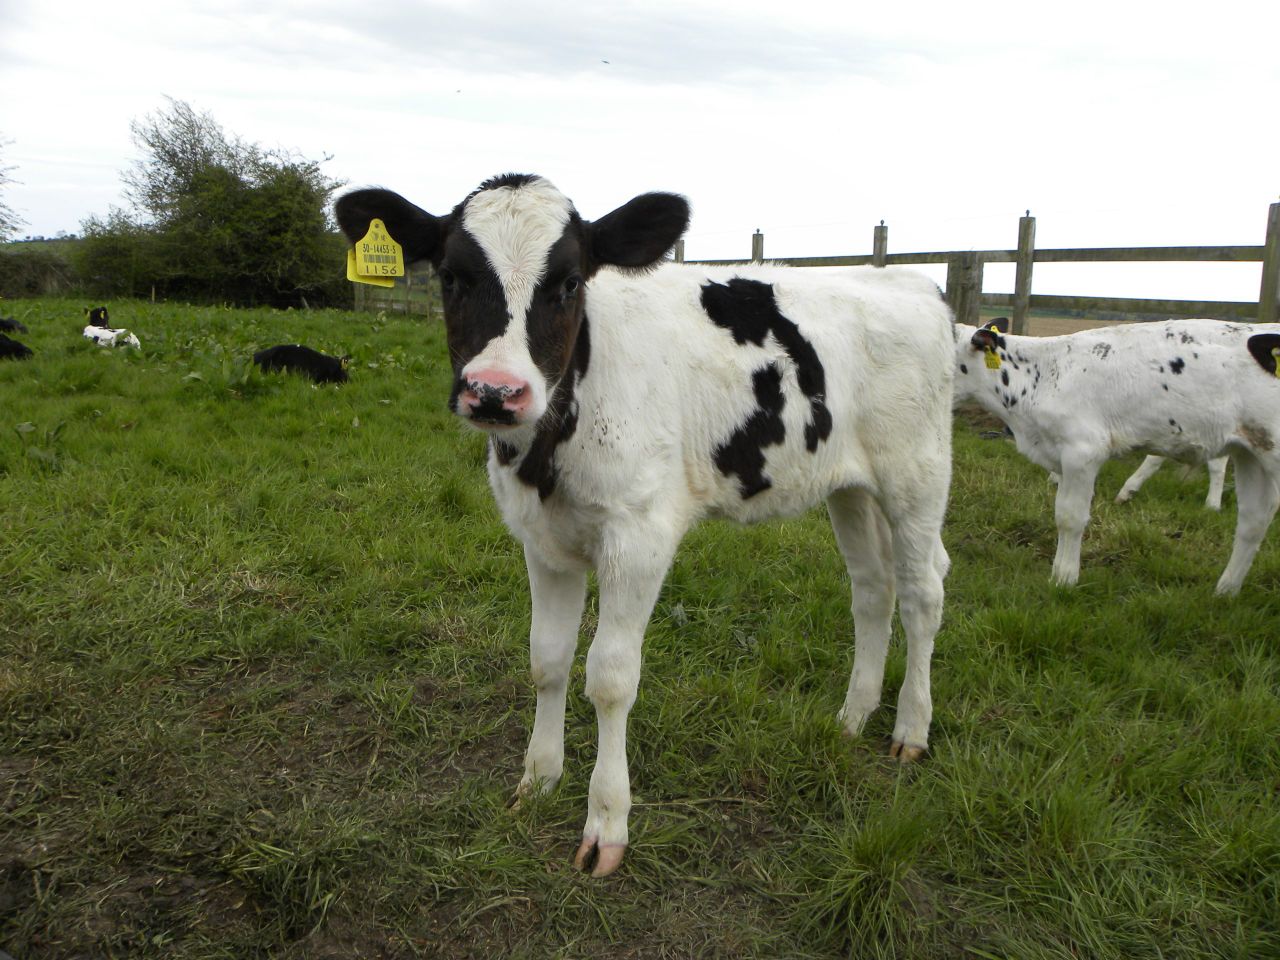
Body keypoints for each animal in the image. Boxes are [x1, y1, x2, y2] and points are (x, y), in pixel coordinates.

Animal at [335, 174, 954, 877]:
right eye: (450, 277)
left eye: (569, 281)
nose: (495, 392)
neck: (549, 451)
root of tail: (910, 281)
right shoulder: (541, 540)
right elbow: (546, 660)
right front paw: (538, 779)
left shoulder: (639, 537)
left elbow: (609, 678)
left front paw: (606, 822)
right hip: (849, 486)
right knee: (873, 588)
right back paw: (852, 716)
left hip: (917, 474)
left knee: (924, 591)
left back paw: (910, 729)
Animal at [953, 317, 1280, 593]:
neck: (1040, 376)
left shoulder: (1082, 450)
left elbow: (1070, 517)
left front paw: (1064, 578)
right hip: (1251, 453)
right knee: (1253, 521)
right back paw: (1225, 592)